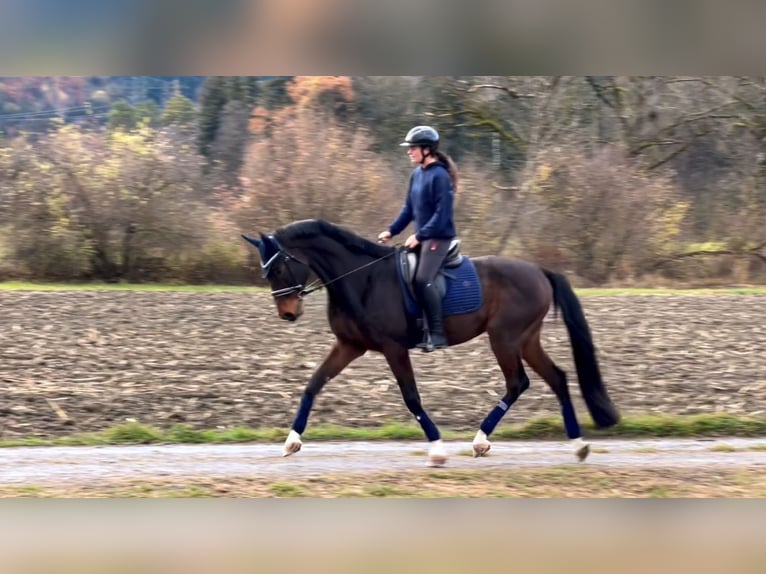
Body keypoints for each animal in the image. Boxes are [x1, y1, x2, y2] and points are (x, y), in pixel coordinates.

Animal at [243, 219, 620, 468]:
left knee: (518, 382)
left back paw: (481, 441)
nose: (288, 314)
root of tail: (539, 271)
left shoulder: (393, 348)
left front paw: (437, 449)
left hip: (504, 338)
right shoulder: (349, 345)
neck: (362, 278)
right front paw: (292, 441)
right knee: (556, 378)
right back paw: (578, 445)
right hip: (525, 339)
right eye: (266, 273)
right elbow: (313, 383)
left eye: (278, 269)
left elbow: (411, 397)